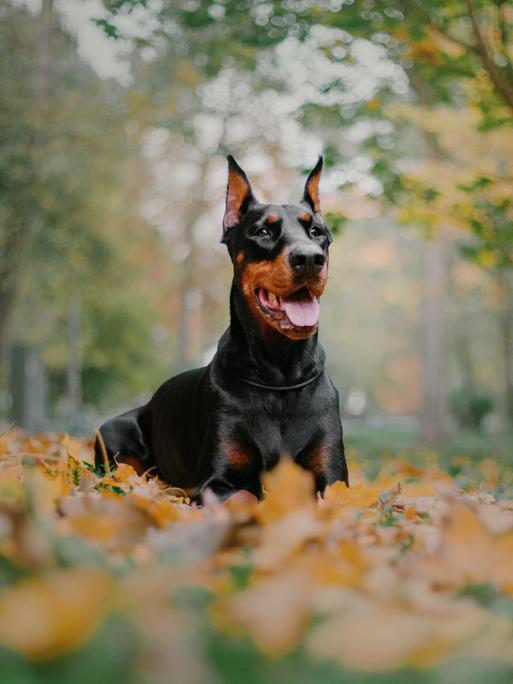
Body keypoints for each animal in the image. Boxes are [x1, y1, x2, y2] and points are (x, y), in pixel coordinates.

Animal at [94, 155, 346, 502]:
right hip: (111, 433)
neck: (280, 377)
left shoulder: (334, 479)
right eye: (262, 230)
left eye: (316, 231)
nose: (310, 258)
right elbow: (245, 497)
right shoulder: (215, 481)